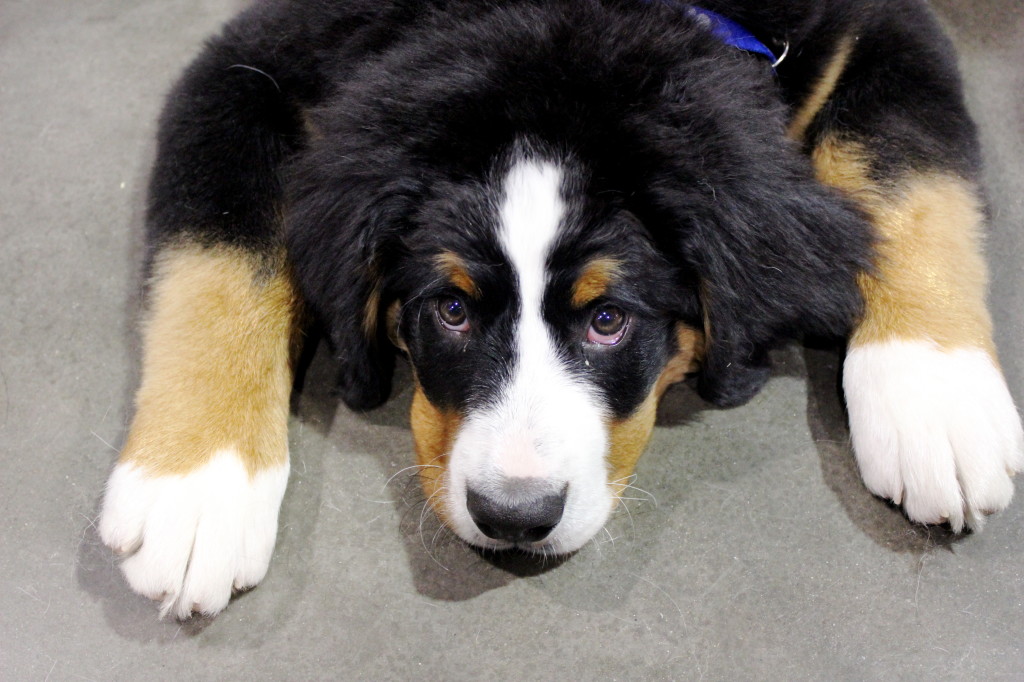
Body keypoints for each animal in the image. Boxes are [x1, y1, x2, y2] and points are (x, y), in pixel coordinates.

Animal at [97, 0, 1024, 614]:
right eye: (451, 310)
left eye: (608, 319)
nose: (515, 516)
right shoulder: (250, 61)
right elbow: (218, 260)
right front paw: (195, 486)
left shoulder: (883, 24)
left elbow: (908, 173)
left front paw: (934, 393)